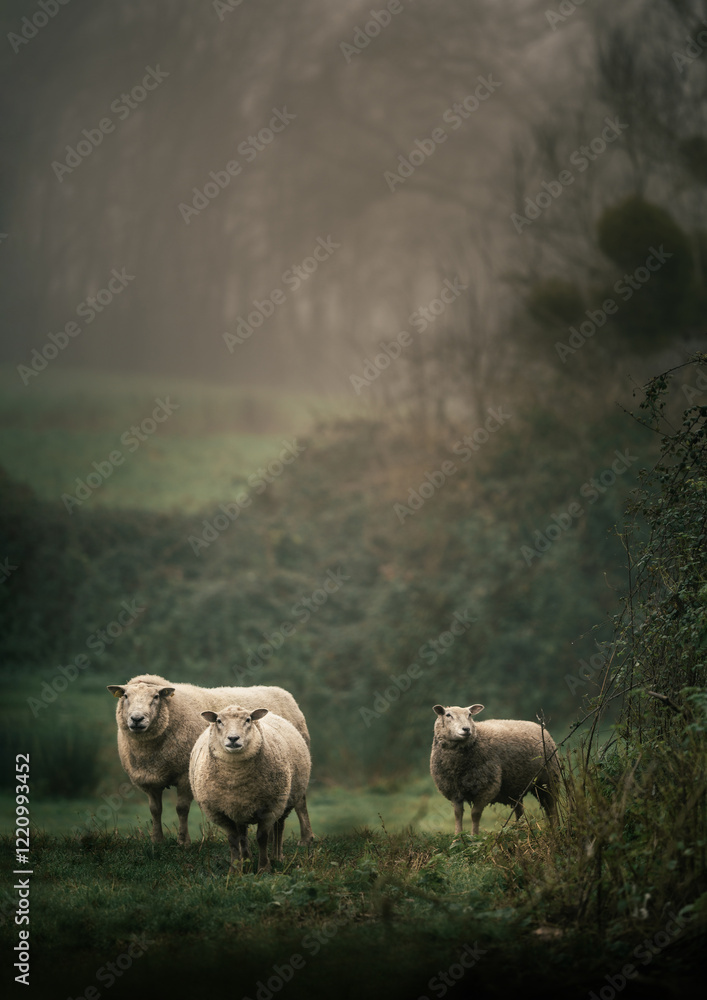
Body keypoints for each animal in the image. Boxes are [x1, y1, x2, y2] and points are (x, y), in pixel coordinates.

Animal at [107, 673, 313, 846]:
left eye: (156, 697)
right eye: (125, 696)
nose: (137, 719)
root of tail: (283, 692)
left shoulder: (185, 776)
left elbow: (181, 809)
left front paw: (183, 842)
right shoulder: (150, 780)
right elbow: (155, 810)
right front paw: (157, 841)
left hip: (297, 766)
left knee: (301, 802)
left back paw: (306, 839)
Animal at [189, 704, 311, 872]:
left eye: (248, 720)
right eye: (219, 721)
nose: (233, 738)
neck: (235, 776)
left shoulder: (270, 807)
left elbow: (262, 837)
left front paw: (264, 868)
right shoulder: (220, 812)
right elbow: (233, 839)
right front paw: (235, 869)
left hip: (285, 801)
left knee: (279, 827)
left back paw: (277, 856)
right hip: (239, 809)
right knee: (243, 834)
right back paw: (247, 860)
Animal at [430, 703, 559, 834]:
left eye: (470, 715)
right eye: (448, 715)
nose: (466, 729)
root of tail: (539, 726)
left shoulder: (486, 788)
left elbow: (475, 814)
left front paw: (474, 835)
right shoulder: (453, 790)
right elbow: (458, 814)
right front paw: (458, 836)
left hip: (548, 779)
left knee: (551, 807)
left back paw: (555, 829)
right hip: (516, 787)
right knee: (520, 812)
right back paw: (520, 830)